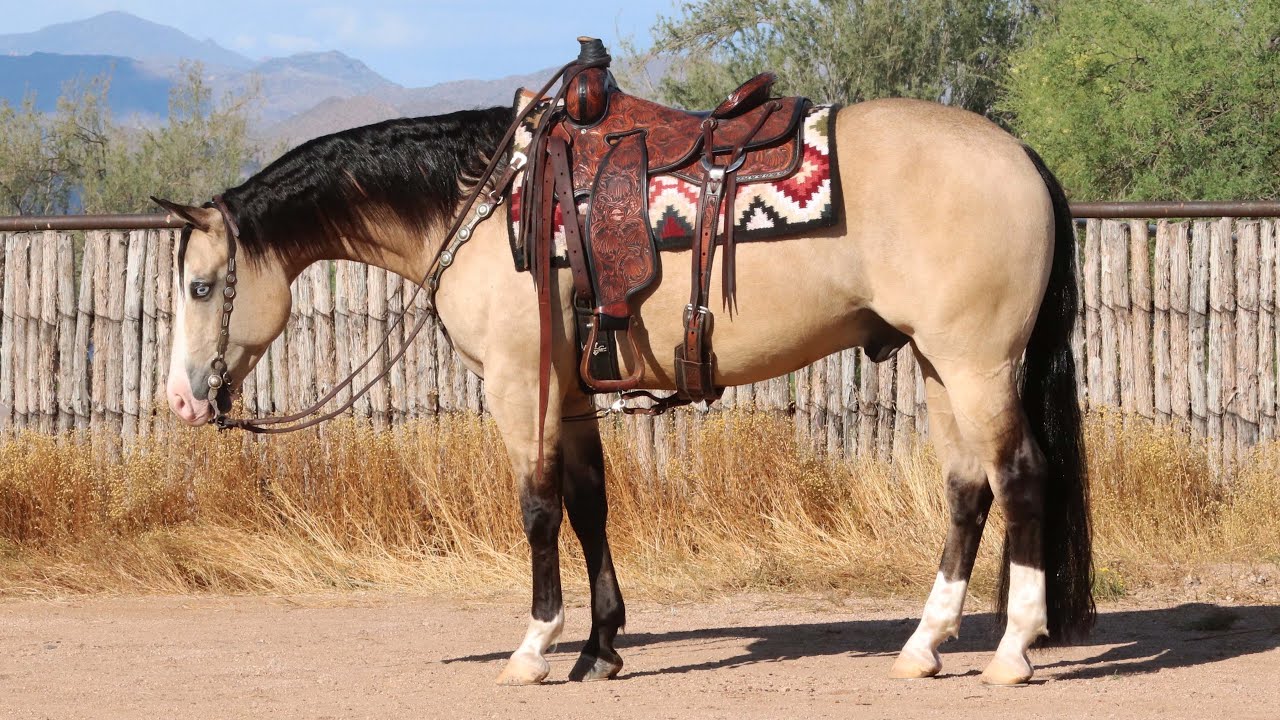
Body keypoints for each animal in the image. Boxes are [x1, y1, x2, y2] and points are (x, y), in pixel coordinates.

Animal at [155, 92, 1093, 687]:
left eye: (200, 287)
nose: (183, 401)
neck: (481, 206)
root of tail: (1019, 154)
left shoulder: (520, 387)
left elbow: (538, 509)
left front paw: (536, 647)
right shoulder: (570, 396)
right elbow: (589, 507)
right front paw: (599, 647)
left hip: (977, 363)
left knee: (1020, 480)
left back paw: (1012, 651)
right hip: (939, 365)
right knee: (967, 491)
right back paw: (924, 644)